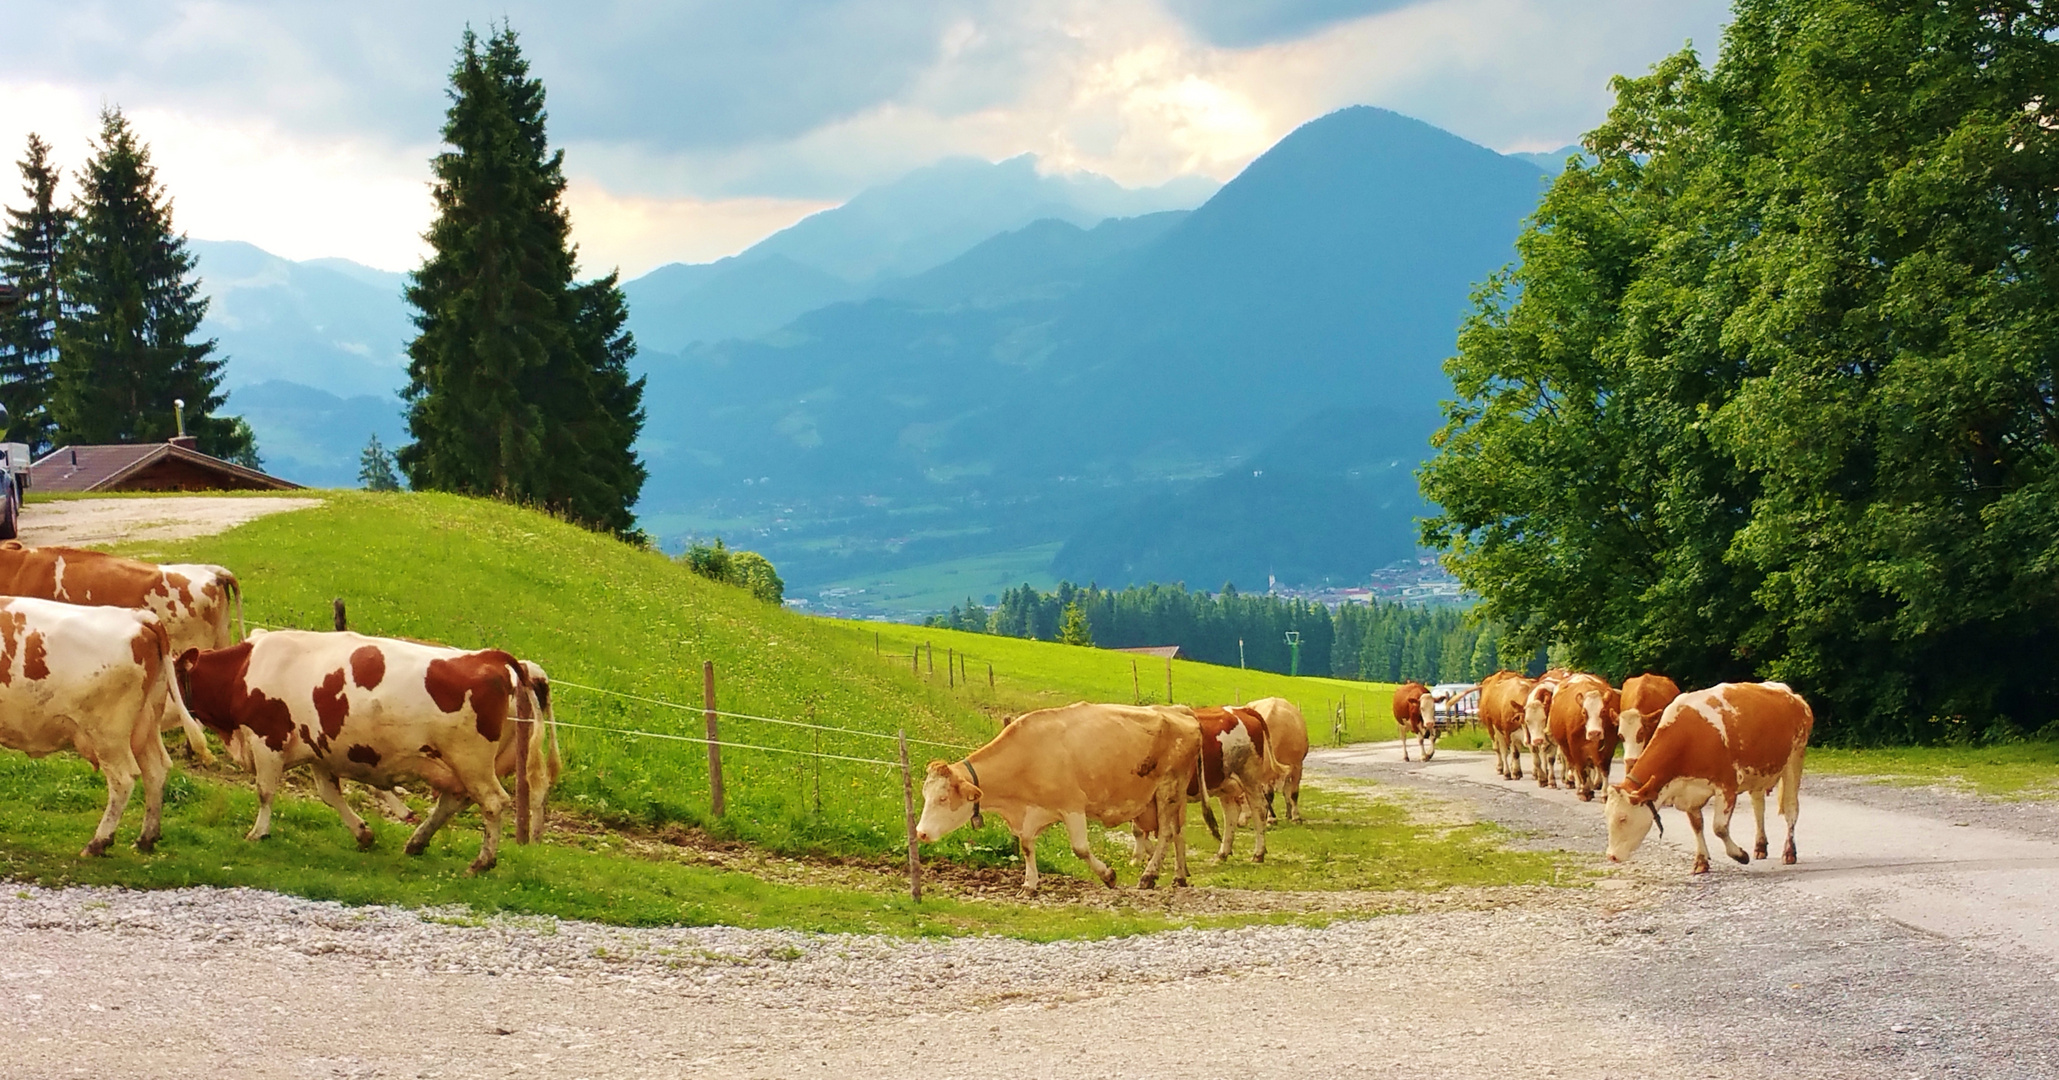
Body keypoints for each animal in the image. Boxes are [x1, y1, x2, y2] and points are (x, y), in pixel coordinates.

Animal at [0, 592, 177, 855]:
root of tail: (137, 616)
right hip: (146, 724)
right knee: (156, 771)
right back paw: (146, 838)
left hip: (108, 735)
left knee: (124, 779)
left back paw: (98, 842)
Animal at [914, 699, 1202, 892]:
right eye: (925, 795)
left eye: (942, 799)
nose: (920, 833)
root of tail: (1179, 710)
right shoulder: (1031, 813)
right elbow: (1027, 846)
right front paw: (1029, 884)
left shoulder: (1072, 805)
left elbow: (1080, 848)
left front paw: (1108, 875)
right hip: (1168, 798)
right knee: (1178, 833)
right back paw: (1179, 877)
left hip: (1169, 788)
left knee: (1166, 834)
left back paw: (1148, 876)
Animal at [1194, 703, 1268, 864]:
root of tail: (1239, 709)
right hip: (1224, 784)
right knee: (1231, 813)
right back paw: (1223, 853)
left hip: (1249, 777)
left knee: (1259, 808)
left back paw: (1258, 854)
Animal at [1597, 682, 1811, 876]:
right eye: (1607, 816)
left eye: (1623, 818)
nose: (1611, 856)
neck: (1689, 737)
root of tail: (1793, 696)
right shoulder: (1688, 791)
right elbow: (1697, 825)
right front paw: (1701, 861)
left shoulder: (1727, 786)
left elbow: (1719, 828)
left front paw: (1740, 855)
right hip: (1758, 774)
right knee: (1759, 807)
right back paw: (1760, 847)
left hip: (1794, 759)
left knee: (1791, 809)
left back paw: (1789, 852)